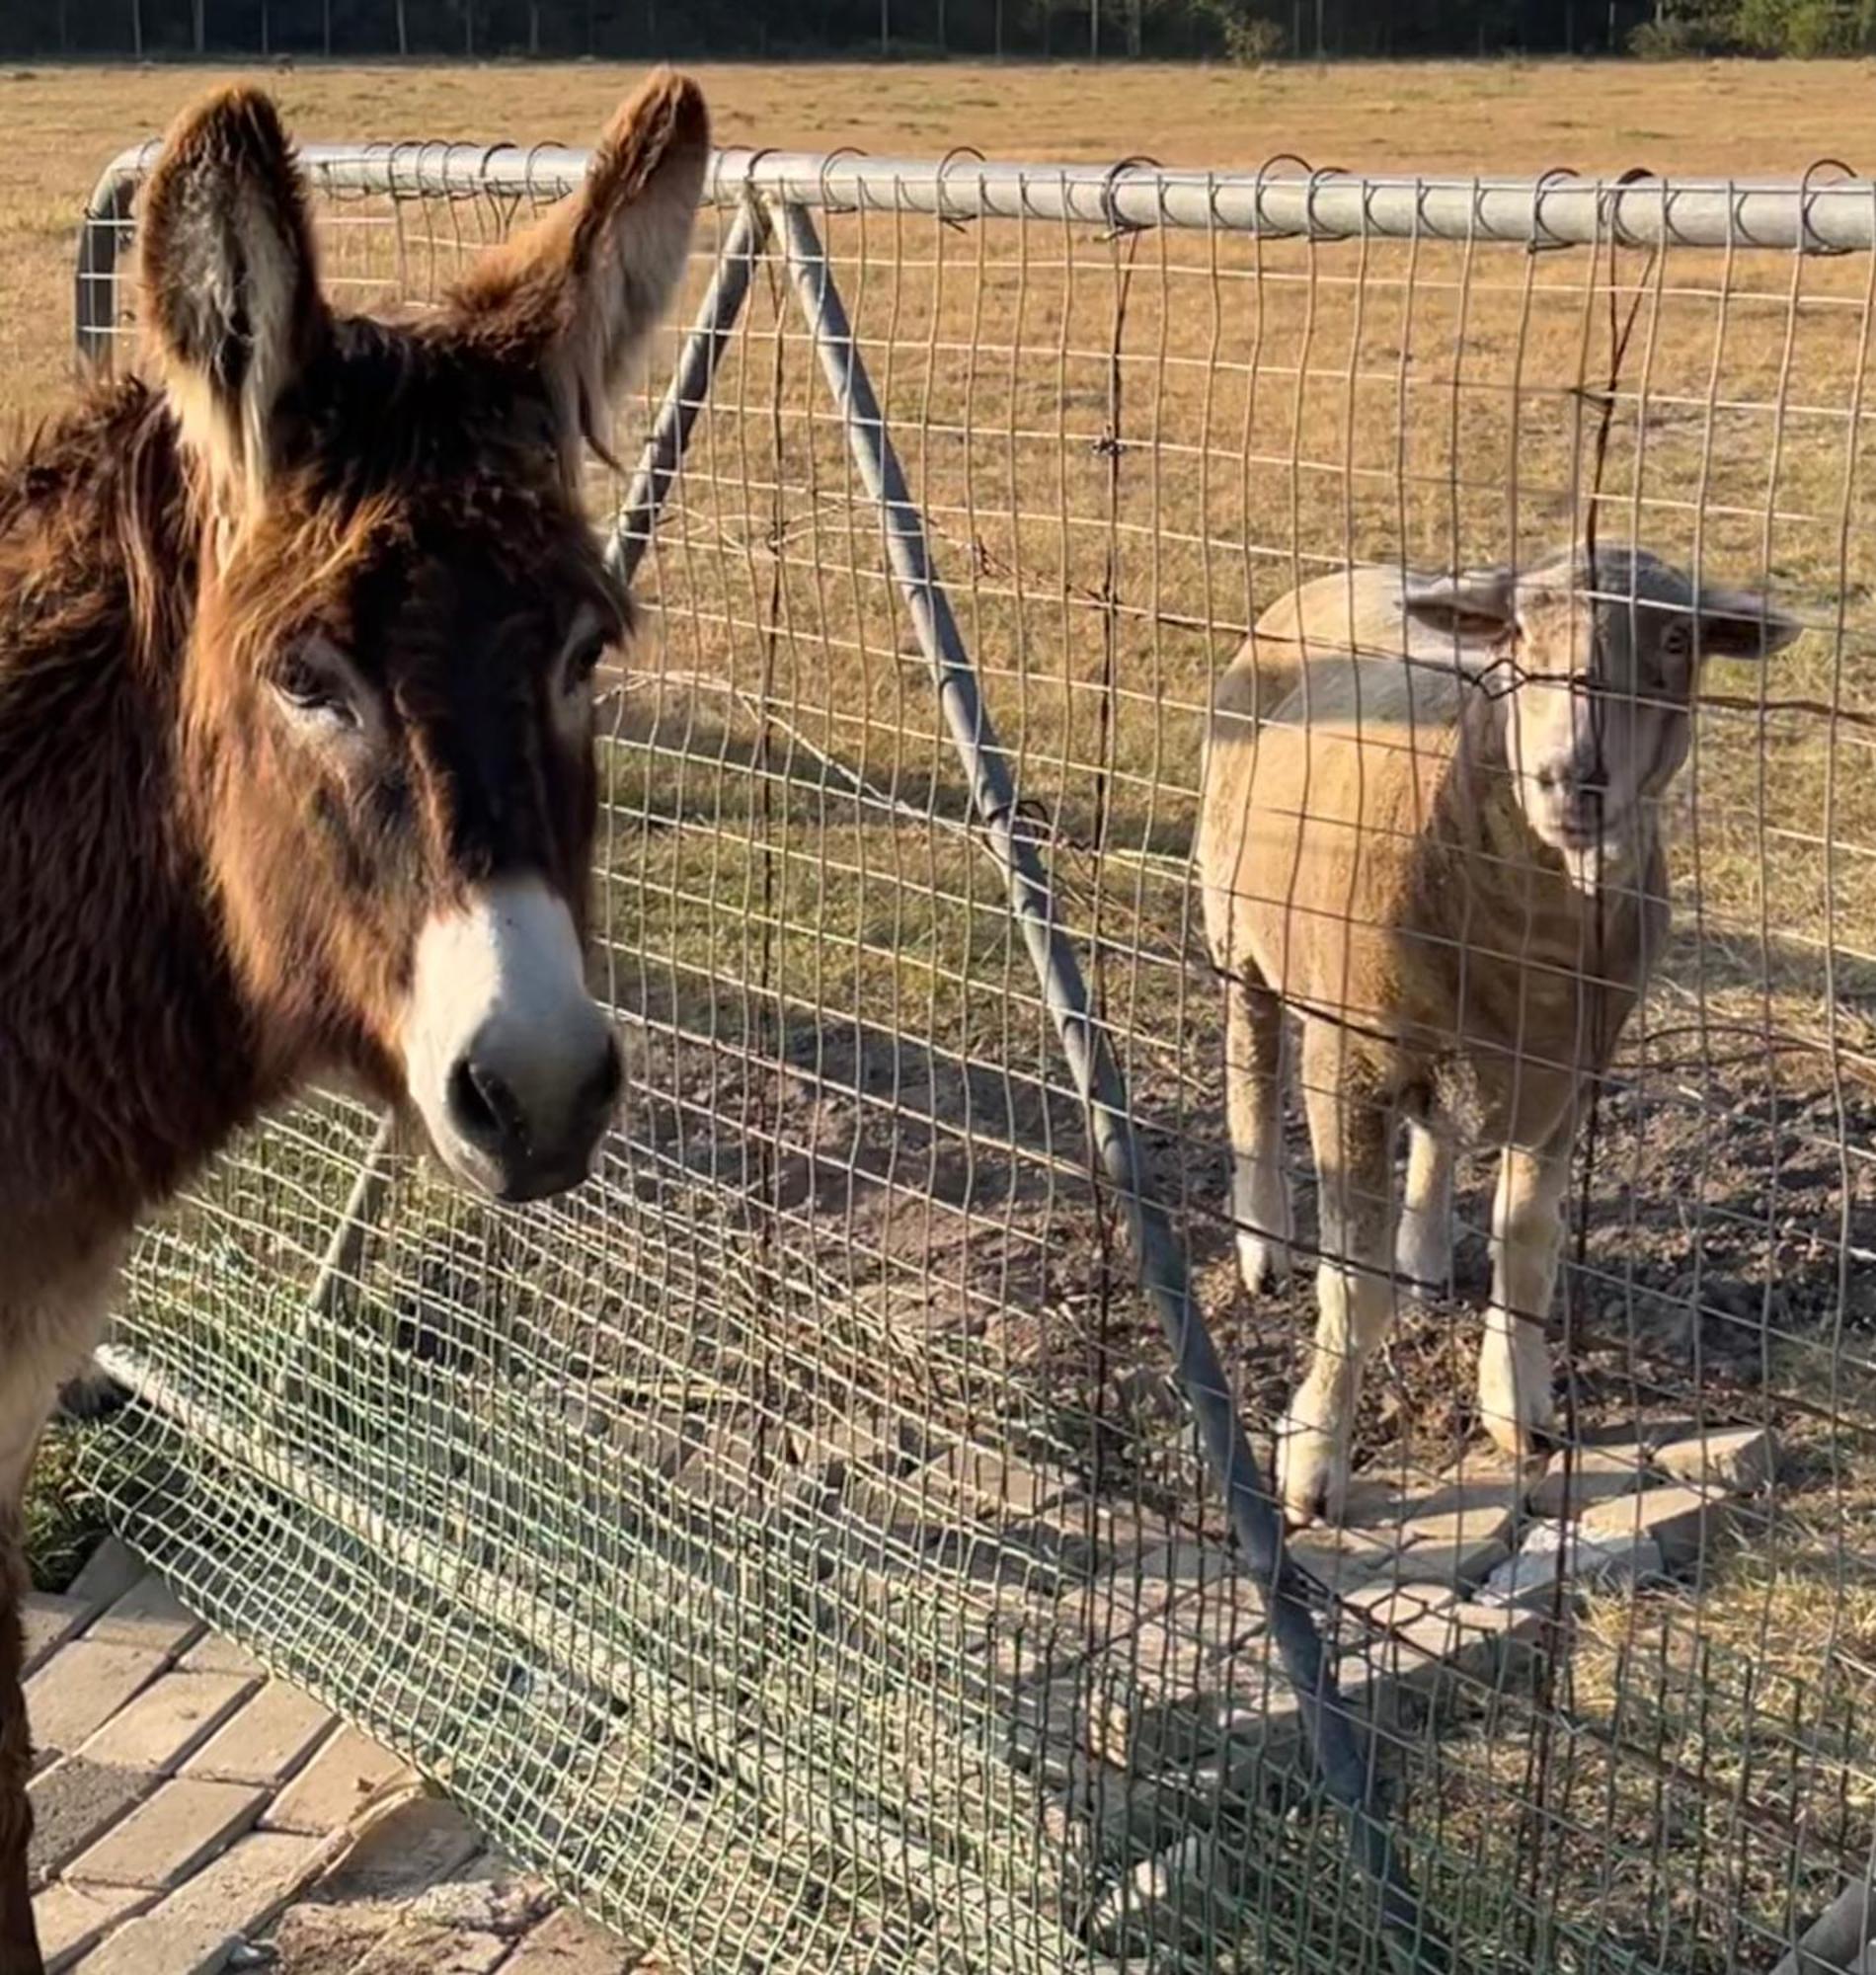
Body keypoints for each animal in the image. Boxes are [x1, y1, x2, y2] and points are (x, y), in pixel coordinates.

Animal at [1201, 545, 1809, 1525]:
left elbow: (1525, 1246)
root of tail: (1345, 572)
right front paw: (1314, 1456)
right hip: (1232, 916)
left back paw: (1423, 1254)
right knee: (1250, 1063)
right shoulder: (1348, 1060)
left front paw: (1517, 1405)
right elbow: (1353, 1284)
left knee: (1436, 1128)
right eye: (1517, 636)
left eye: (1676, 640)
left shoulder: (1571, 1073)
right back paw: (1264, 1243)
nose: (1571, 775)